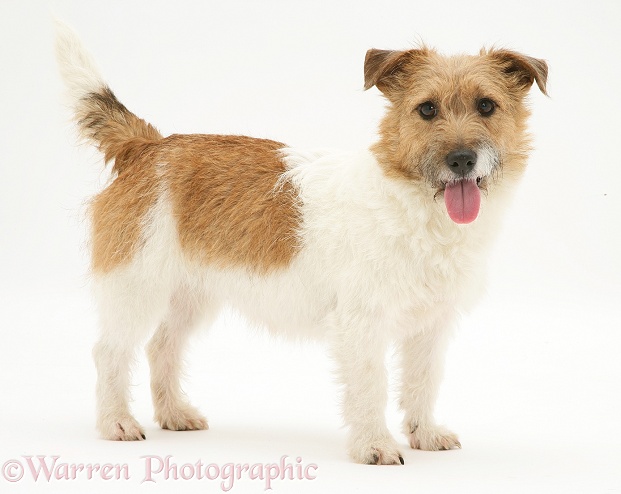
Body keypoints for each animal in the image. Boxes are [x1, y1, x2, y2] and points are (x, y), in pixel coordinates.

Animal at [55, 21, 544, 466]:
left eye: (487, 105)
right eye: (426, 110)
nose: (461, 160)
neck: (417, 208)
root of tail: (148, 146)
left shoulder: (431, 327)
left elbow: (422, 382)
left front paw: (424, 434)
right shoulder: (362, 325)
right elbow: (372, 385)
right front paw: (374, 446)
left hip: (190, 295)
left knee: (162, 347)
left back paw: (174, 413)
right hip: (136, 289)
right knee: (109, 352)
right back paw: (116, 422)